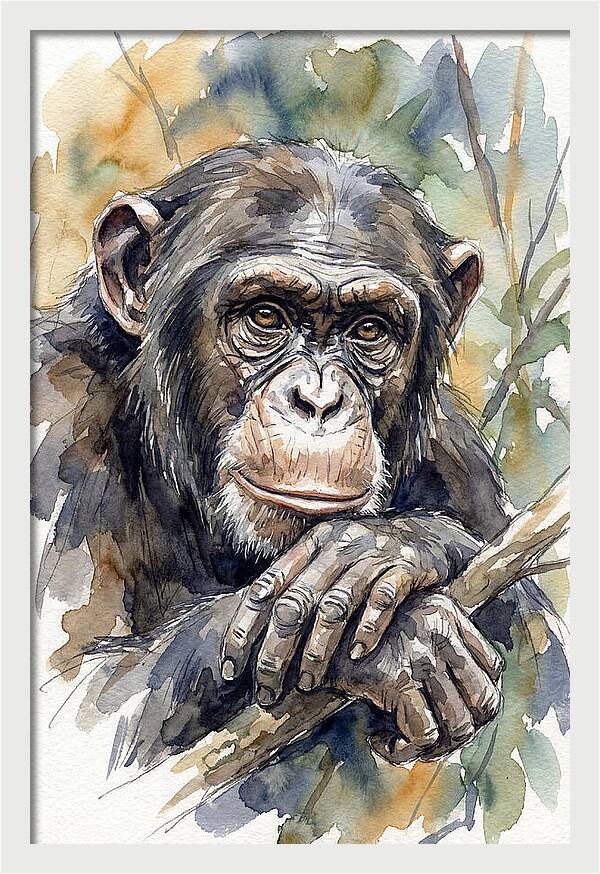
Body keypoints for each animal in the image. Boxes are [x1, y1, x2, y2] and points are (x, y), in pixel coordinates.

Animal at [32, 139, 559, 774]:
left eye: (369, 329)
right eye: (266, 316)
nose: (319, 400)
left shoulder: (458, 458)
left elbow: (544, 652)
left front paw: (384, 548)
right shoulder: (53, 416)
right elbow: (77, 700)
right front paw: (407, 640)